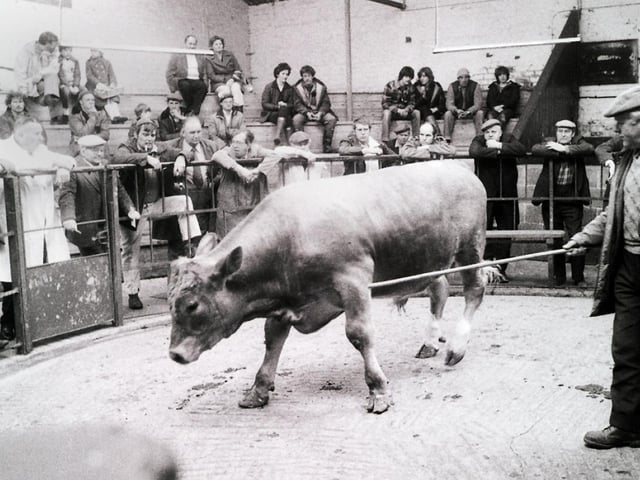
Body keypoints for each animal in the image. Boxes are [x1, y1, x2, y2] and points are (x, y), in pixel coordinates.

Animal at [168, 161, 488, 414]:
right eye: (171, 304)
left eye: (193, 305)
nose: (175, 354)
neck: (290, 235)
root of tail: (459, 168)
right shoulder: (286, 301)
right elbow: (272, 339)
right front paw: (258, 390)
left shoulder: (354, 280)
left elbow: (359, 334)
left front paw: (378, 391)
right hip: (431, 260)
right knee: (440, 289)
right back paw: (430, 342)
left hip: (470, 248)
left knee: (474, 289)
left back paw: (457, 347)